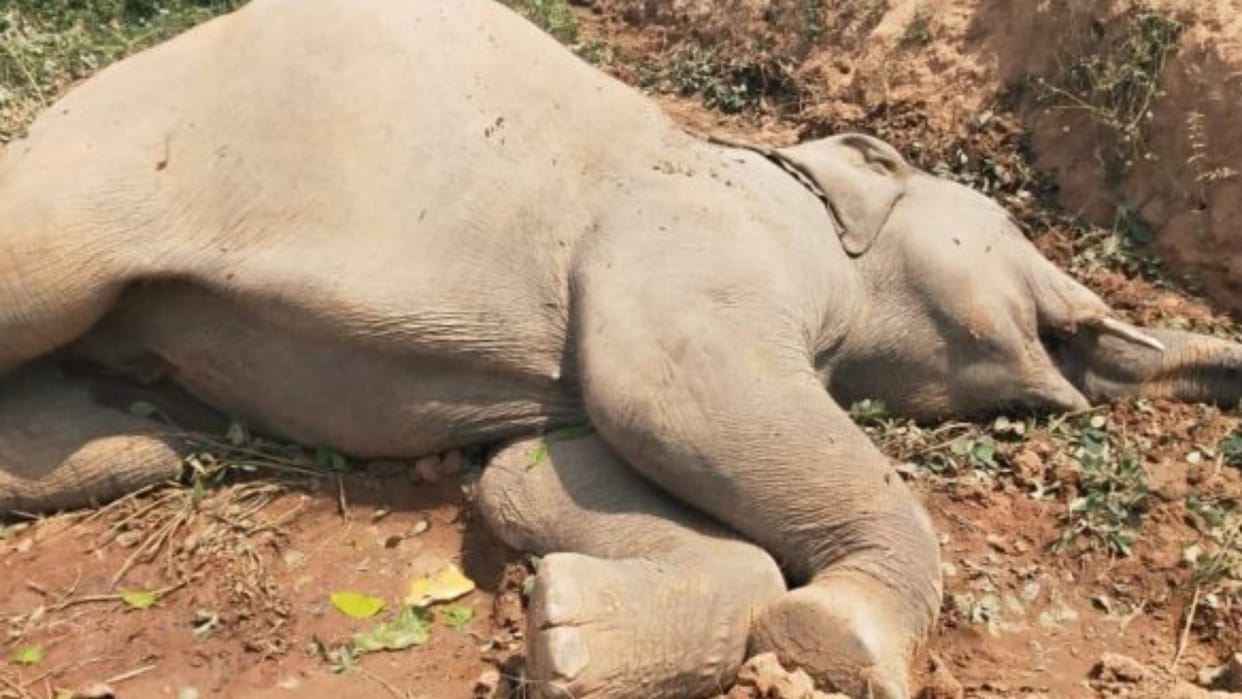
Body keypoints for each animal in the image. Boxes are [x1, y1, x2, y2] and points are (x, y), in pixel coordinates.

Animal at [2, 0, 1240, 696]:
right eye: (1015, 235)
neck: (780, 168)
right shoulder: (690, 235)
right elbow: (673, 398)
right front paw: (843, 643)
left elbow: (541, 471)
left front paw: (564, 639)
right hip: (98, 172)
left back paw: (130, 441)